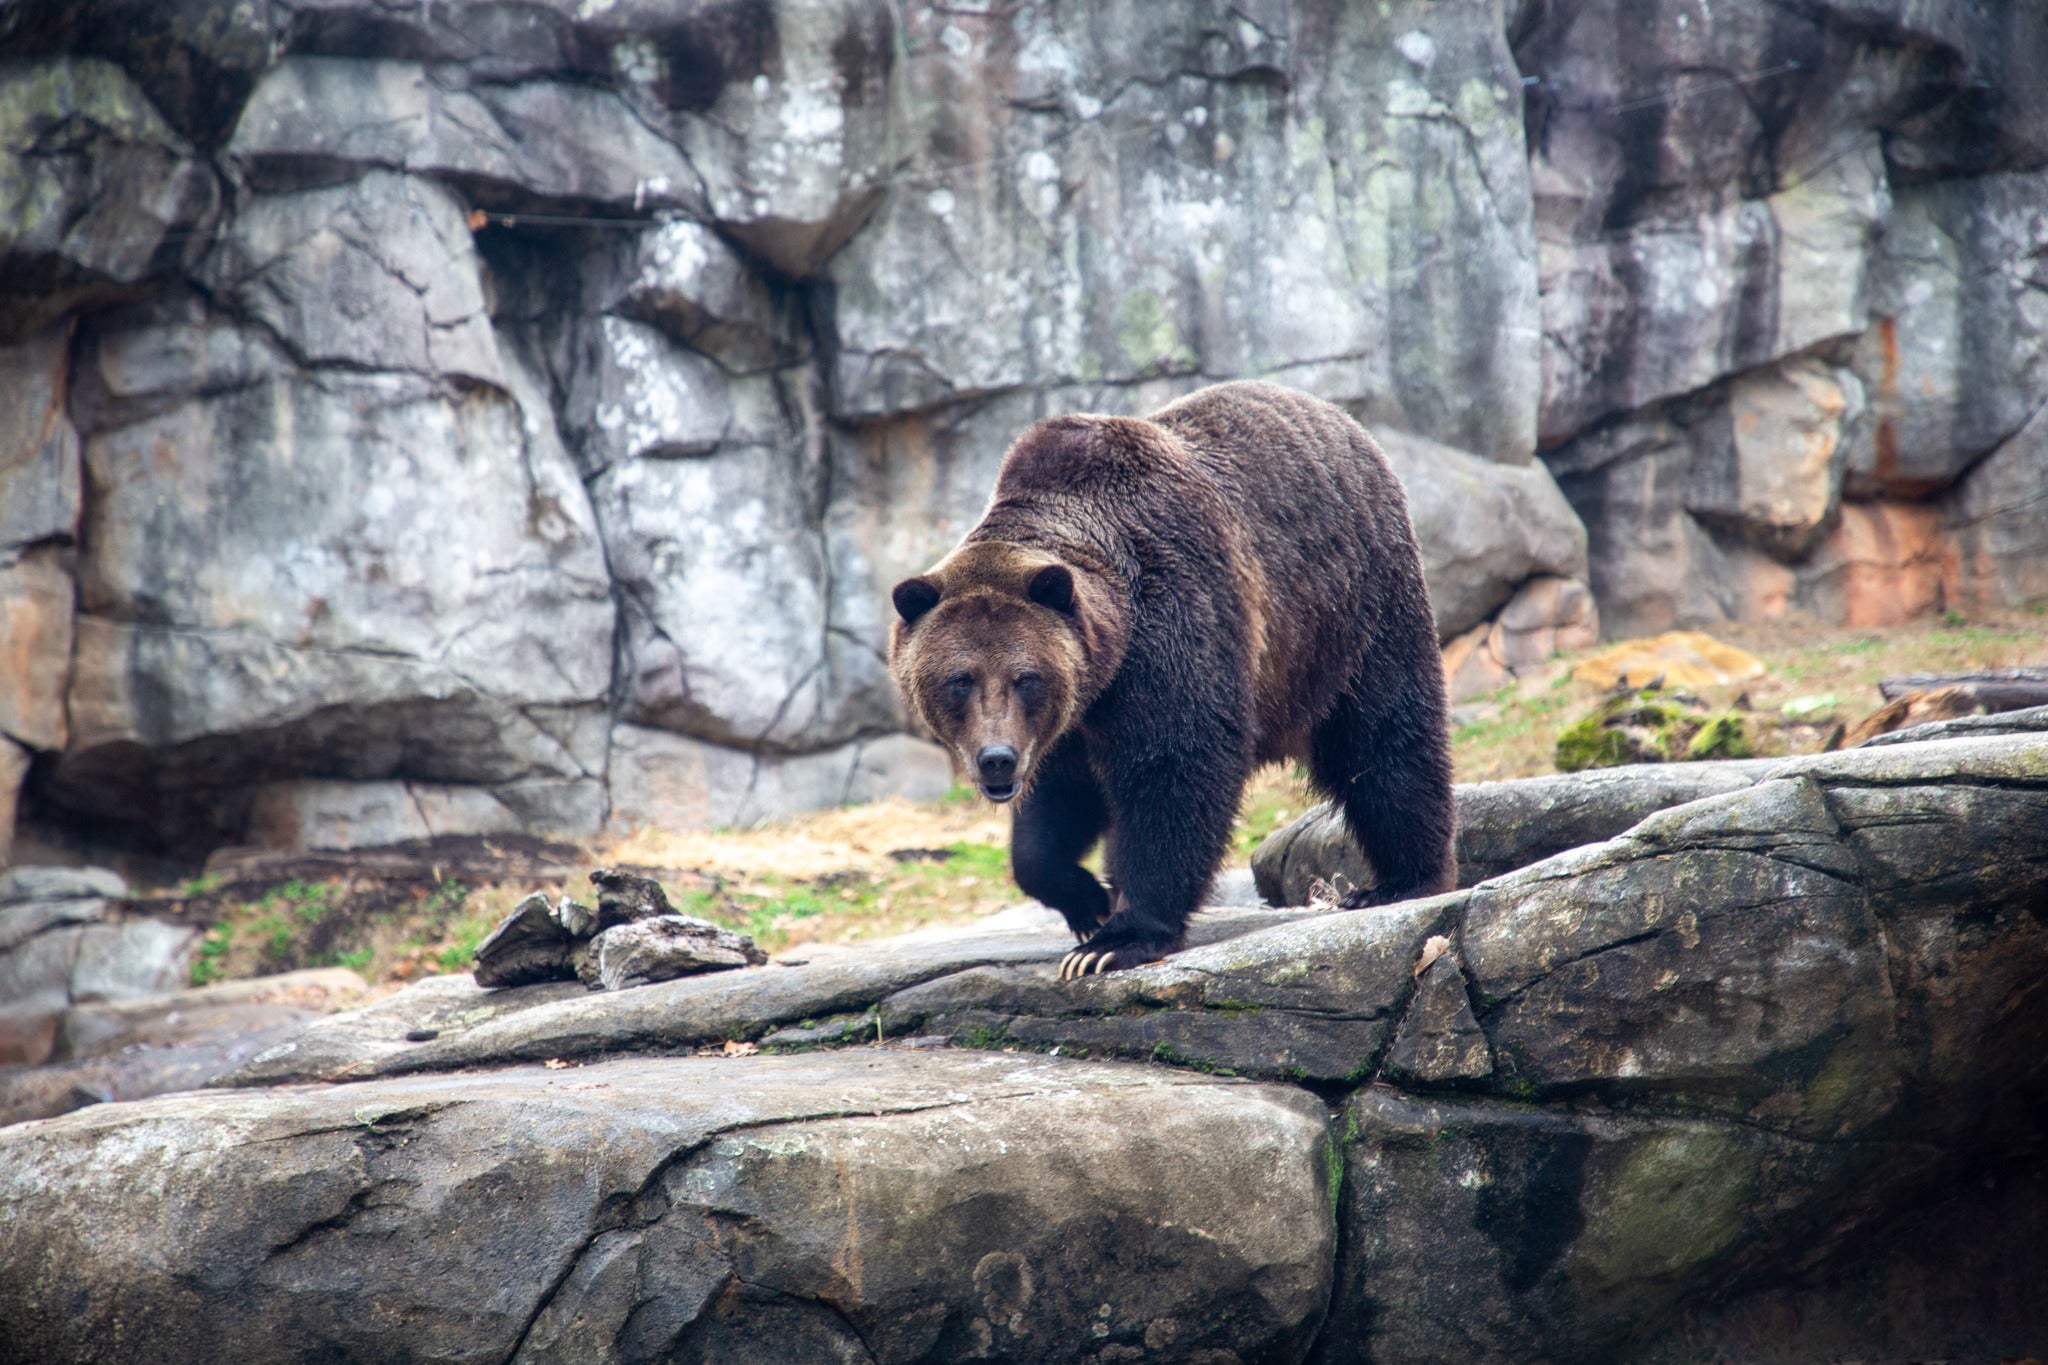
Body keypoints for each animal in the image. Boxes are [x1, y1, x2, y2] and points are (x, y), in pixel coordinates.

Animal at [889, 380, 1455, 978]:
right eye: (959, 680)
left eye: (1025, 677)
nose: (995, 759)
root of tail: (1335, 415)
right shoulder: (1070, 719)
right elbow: (1052, 815)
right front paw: (1089, 903)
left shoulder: (1174, 618)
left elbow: (1176, 768)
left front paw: (1115, 939)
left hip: (1352, 605)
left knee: (1384, 736)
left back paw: (1402, 879)